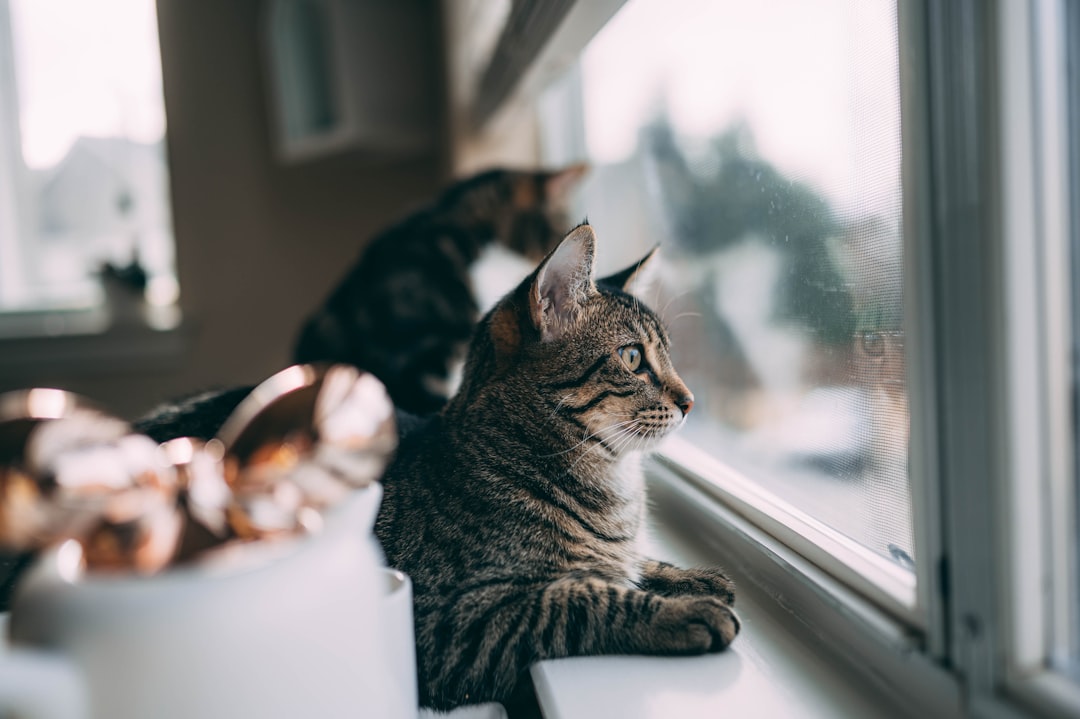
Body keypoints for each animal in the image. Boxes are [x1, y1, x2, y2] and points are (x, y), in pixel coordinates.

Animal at [375, 222, 738, 703]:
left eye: (669, 356)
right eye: (632, 357)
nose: (691, 401)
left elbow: (627, 564)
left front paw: (688, 577)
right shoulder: (452, 623)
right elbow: (584, 600)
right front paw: (685, 611)